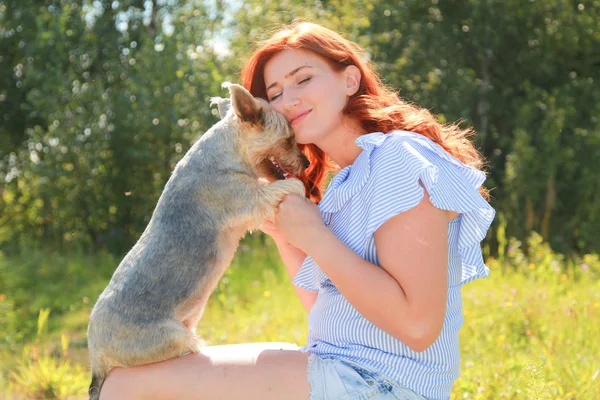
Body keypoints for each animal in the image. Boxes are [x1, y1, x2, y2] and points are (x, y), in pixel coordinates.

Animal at [86, 83, 310, 398]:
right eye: (289, 138)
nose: (307, 161)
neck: (228, 152)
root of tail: (95, 356)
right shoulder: (253, 196)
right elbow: (288, 186)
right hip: (172, 340)